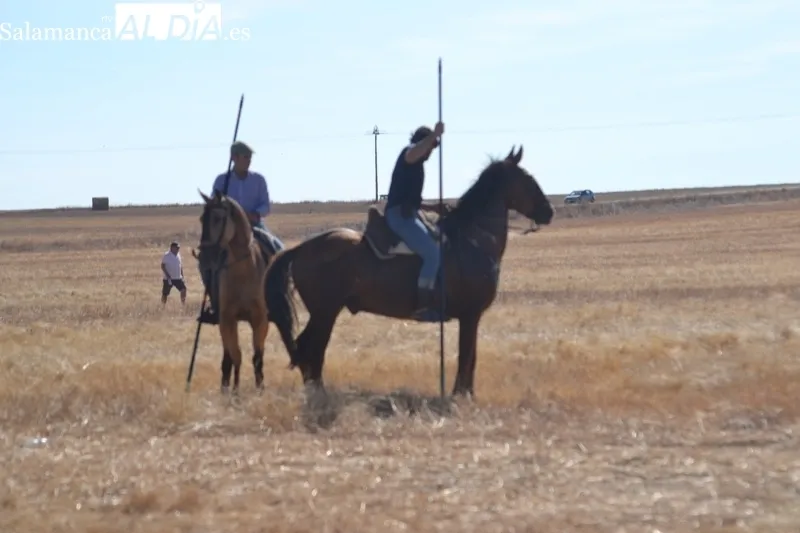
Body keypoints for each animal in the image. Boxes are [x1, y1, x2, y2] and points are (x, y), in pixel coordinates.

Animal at [193, 189, 277, 394]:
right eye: (201, 218)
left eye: (217, 218)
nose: (205, 256)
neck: (243, 271)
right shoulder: (227, 319)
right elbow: (236, 355)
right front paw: (235, 390)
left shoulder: (260, 320)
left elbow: (257, 357)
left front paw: (260, 388)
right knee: (228, 356)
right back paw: (225, 385)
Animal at [262, 145, 554, 398]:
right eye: (527, 179)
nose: (548, 212)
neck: (473, 240)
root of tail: (302, 248)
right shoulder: (470, 315)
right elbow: (467, 355)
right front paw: (461, 395)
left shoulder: (471, 317)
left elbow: (471, 355)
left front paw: (467, 393)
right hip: (325, 312)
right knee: (311, 349)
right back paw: (319, 393)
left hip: (324, 312)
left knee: (306, 349)